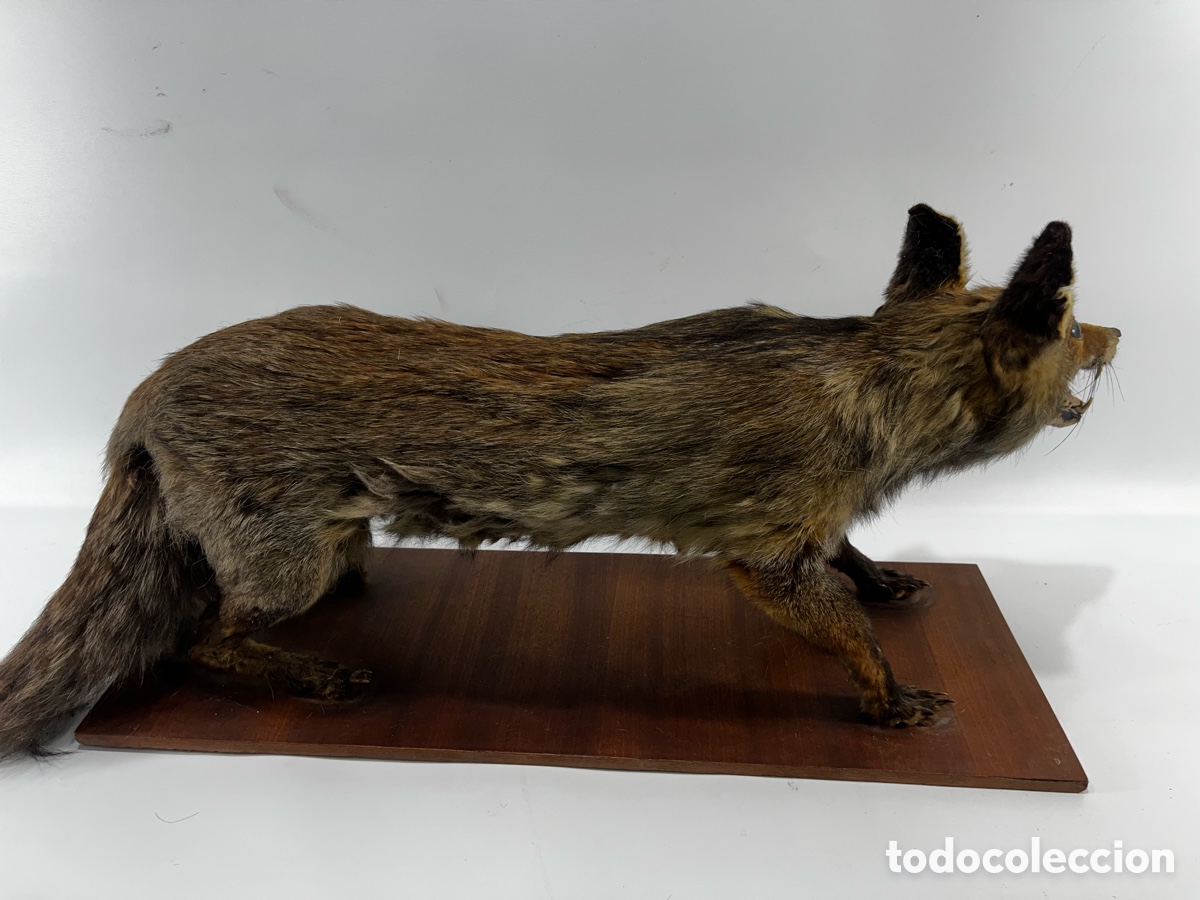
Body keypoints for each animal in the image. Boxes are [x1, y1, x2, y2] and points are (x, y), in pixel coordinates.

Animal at [0, 205, 1120, 759]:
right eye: (1069, 329)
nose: (1119, 336)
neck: (866, 390)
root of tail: (145, 393)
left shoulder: (811, 520)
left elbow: (856, 557)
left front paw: (893, 583)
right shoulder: (765, 553)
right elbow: (844, 630)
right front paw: (894, 701)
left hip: (308, 542)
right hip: (279, 563)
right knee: (203, 638)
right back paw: (317, 677)